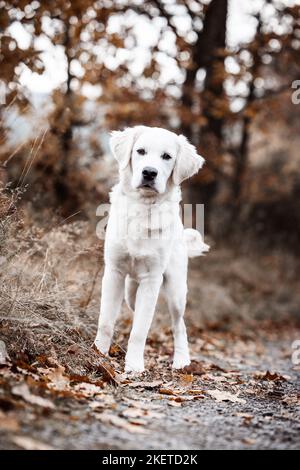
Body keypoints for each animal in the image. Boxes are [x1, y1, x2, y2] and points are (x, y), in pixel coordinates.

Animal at [94, 126, 209, 372]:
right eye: (140, 151)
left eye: (167, 156)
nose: (149, 173)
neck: (142, 207)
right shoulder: (114, 272)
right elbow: (106, 321)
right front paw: (98, 353)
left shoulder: (152, 279)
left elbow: (139, 331)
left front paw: (134, 366)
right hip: (130, 290)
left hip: (176, 291)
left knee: (179, 325)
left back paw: (182, 361)